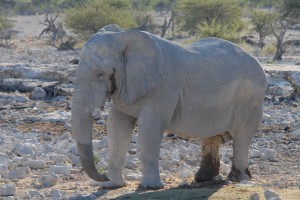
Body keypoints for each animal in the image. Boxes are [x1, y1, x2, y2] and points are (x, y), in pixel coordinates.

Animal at [71, 24, 266, 189]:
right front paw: (111, 185)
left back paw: (237, 178)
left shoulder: (163, 90)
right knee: (210, 136)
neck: (123, 37)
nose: (102, 175)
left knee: (242, 135)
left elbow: (149, 128)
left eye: (100, 74)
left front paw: (150, 187)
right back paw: (203, 179)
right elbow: (116, 126)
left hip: (249, 98)